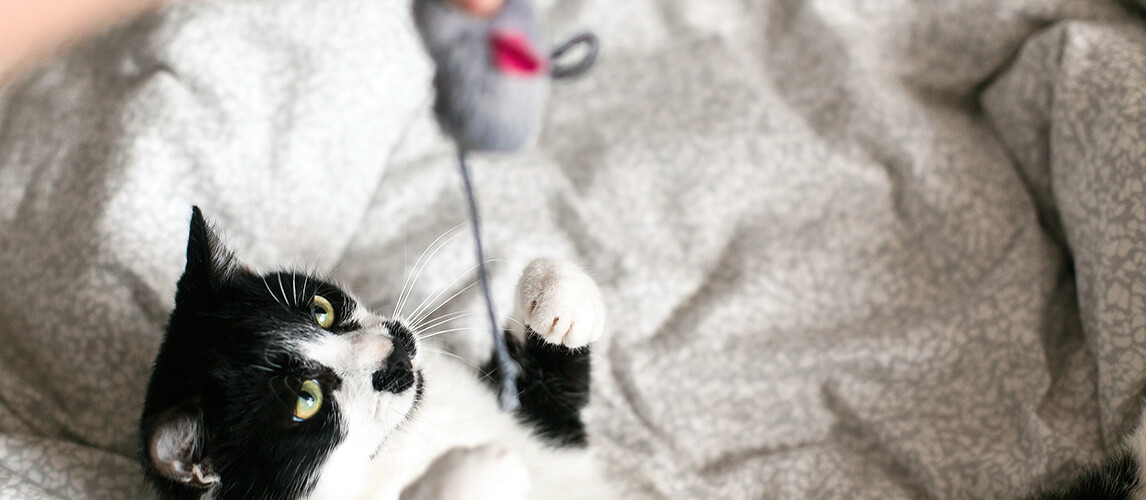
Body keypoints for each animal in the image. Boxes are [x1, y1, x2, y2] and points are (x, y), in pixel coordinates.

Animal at [138, 205, 614, 497]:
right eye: (306, 399)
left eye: (322, 310)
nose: (395, 356)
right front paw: (482, 475)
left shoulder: (547, 435)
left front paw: (558, 298)